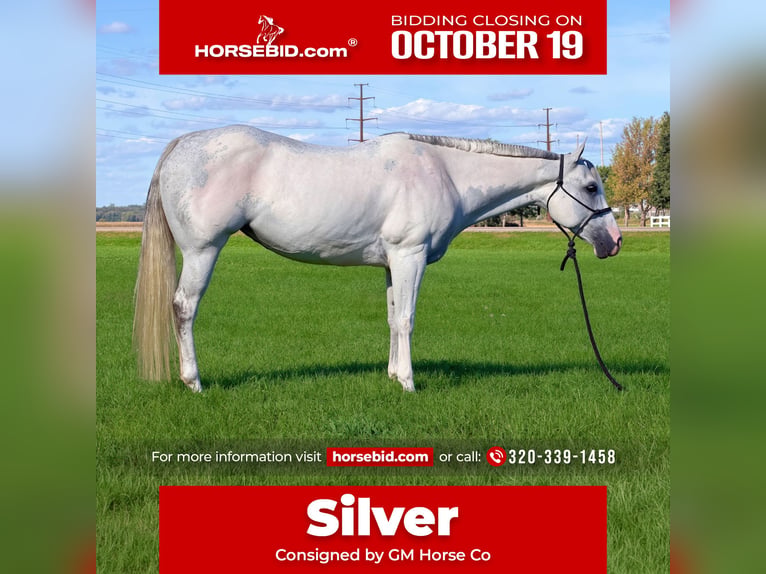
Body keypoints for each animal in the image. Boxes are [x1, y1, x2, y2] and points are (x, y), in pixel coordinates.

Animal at [133, 126, 622, 393]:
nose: (614, 241)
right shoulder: (410, 255)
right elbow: (406, 319)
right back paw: (194, 381)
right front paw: (408, 382)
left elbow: (391, 318)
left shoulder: (391, 263)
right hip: (203, 251)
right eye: (591, 187)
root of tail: (184, 143)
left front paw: (390, 375)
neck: (446, 172)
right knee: (183, 308)